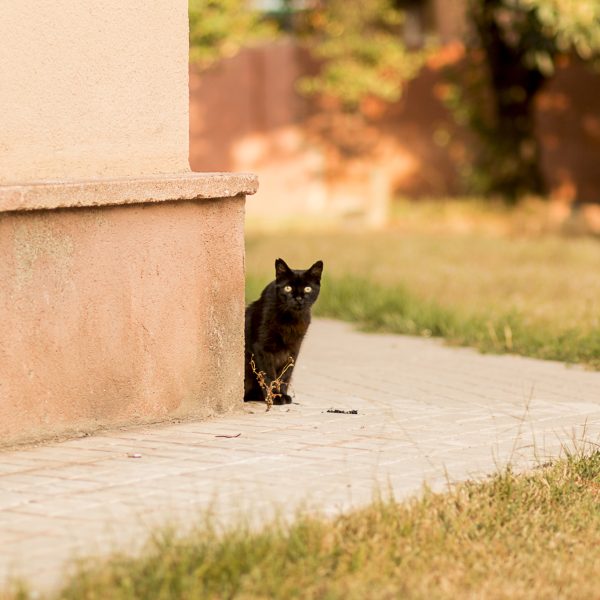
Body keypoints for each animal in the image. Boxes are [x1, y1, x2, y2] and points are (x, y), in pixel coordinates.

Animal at [244, 256, 324, 404]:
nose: (298, 298)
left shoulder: (293, 349)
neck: (290, 320)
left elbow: (285, 374)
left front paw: (282, 394)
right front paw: (275, 396)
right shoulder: (262, 348)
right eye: (288, 288)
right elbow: (269, 374)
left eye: (308, 289)